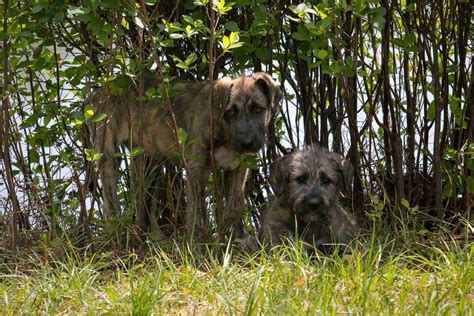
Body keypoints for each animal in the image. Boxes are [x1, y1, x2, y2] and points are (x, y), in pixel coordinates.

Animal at [89, 73, 282, 238]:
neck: (223, 130)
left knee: (144, 202)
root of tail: (99, 91)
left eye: (258, 109)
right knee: (110, 201)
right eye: (231, 112)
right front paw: (199, 243)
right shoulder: (196, 169)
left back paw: (156, 238)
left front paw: (235, 239)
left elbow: (234, 206)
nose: (248, 143)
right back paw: (117, 232)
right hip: (109, 153)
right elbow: (197, 211)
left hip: (149, 161)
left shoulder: (237, 168)